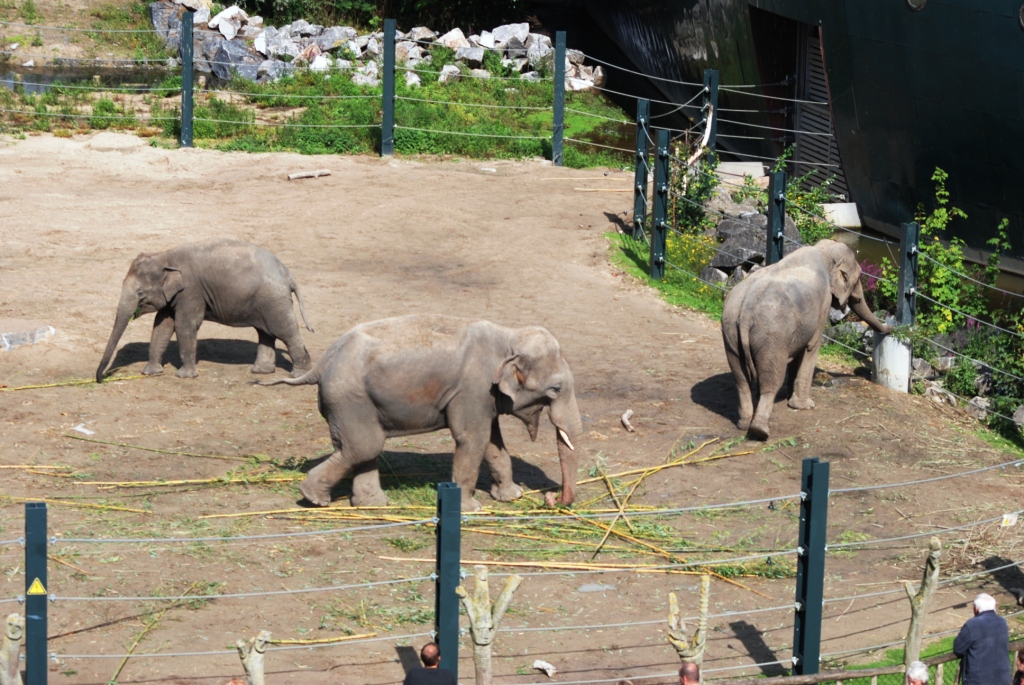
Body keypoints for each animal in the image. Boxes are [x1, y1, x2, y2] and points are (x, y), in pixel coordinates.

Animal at [96, 238, 314, 382]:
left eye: (140, 292)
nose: (99, 379)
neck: (165, 256)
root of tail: (288, 274)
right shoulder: (173, 296)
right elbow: (162, 326)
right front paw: (150, 372)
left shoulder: (191, 292)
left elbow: (184, 325)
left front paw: (184, 376)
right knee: (265, 333)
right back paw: (260, 372)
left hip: (274, 301)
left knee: (285, 331)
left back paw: (299, 374)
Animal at [261, 315, 583, 512]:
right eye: (555, 389)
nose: (551, 498)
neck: (508, 336)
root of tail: (321, 364)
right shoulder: (472, 389)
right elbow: (472, 440)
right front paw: (471, 509)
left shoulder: (485, 395)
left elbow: (492, 443)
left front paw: (511, 496)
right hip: (349, 399)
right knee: (363, 447)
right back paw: (315, 499)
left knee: (362, 448)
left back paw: (373, 504)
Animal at [721, 239, 891, 440]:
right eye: (857, 280)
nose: (890, 329)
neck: (824, 251)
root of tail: (746, 309)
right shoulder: (823, 302)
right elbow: (811, 347)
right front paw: (805, 405)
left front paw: (790, 397)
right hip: (771, 335)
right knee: (770, 380)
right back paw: (759, 431)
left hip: (730, 331)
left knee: (741, 379)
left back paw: (743, 424)